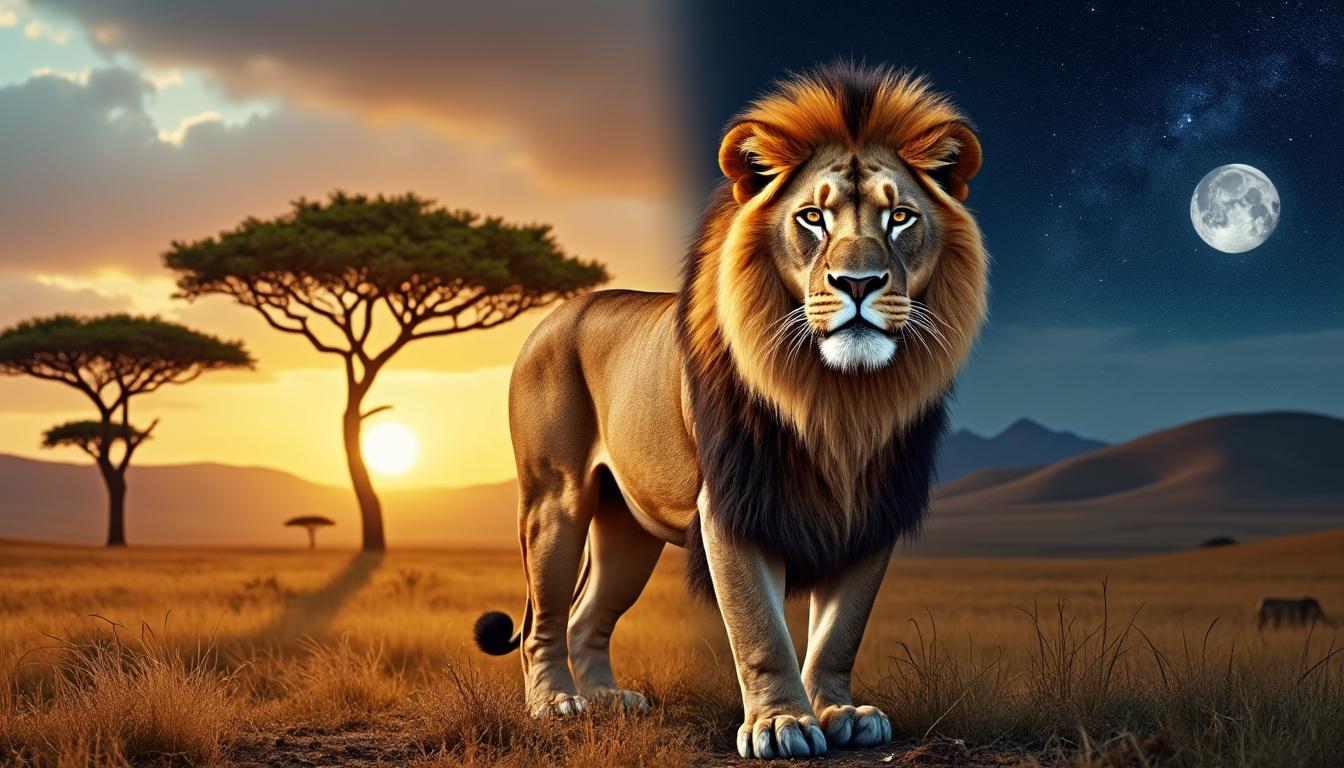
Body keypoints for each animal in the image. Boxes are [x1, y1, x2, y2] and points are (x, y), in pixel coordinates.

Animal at [475, 62, 988, 759]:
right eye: (812, 218)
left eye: (901, 217)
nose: (858, 283)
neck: (839, 401)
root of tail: (557, 313)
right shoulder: (733, 503)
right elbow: (759, 626)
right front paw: (780, 724)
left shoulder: (873, 507)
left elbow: (840, 629)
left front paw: (840, 710)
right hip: (555, 500)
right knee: (544, 623)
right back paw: (555, 704)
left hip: (627, 530)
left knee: (587, 617)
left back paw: (608, 700)